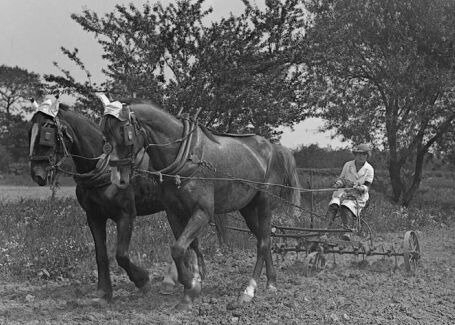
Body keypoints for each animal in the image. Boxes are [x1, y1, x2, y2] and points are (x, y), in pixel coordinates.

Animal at [29, 104, 214, 302]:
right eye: (29, 132)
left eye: (46, 135)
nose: (36, 174)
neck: (103, 168)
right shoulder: (94, 217)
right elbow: (101, 255)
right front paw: (103, 292)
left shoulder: (126, 215)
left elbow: (121, 255)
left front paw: (142, 281)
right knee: (191, 241)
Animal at [103, 101, 302, 308]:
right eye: (105, 135)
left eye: (124, 133)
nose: (117, 179)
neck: (188, 156)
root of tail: (273, 147)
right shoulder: (174, 212)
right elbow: (189, 247)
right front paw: (193, 284)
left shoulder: (203, 212)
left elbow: (178, 249)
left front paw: (190, 285)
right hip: (247, 208)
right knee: (264, 239)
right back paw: (271, 282)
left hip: (264, 202)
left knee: (262, 243)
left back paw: (249, 289)